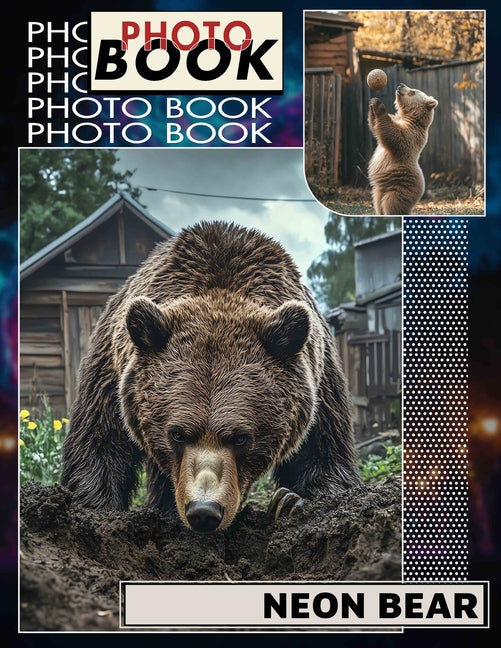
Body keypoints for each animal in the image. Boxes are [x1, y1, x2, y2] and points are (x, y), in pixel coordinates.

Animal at [60, 221, 361, 532]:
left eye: (241, 437)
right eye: (177, 434)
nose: (204, 511)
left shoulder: (320, 382)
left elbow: (325, 453)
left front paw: (290, 501)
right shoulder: (112, 375)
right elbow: (99, 446)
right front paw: (97, 511)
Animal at [367, 82, 438, 215]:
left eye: (413, 91)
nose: (401, 84)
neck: (409, 116)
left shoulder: (412, 134)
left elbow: (396, 136)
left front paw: (379, 106)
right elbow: (375, 127)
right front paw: (372, 103)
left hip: (401, 186)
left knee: (392, 203)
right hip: (378, 191)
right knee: (378, 204)